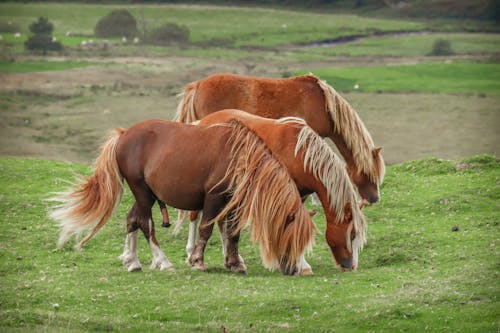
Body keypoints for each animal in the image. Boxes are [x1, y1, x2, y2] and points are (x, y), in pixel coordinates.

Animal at [48, 118, 314, 274]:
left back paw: (133, 262)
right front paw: (197, 260)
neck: (239, 157)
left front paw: (234, 262)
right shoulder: (214, 199)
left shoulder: (233, 203)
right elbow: (206, 229)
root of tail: (123, 135)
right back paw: (163, 261)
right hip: (141, 191)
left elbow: (233, 233)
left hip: (146, 194)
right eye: (291, 236)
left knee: (132, 220)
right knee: (145, 223)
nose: (293, 269)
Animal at [184, 109, 368, 272]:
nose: (352, 266)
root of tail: (203, 121)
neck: (300, 154)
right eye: (352, 235)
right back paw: (191, 254)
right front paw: (301, 265)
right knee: (195, 216)